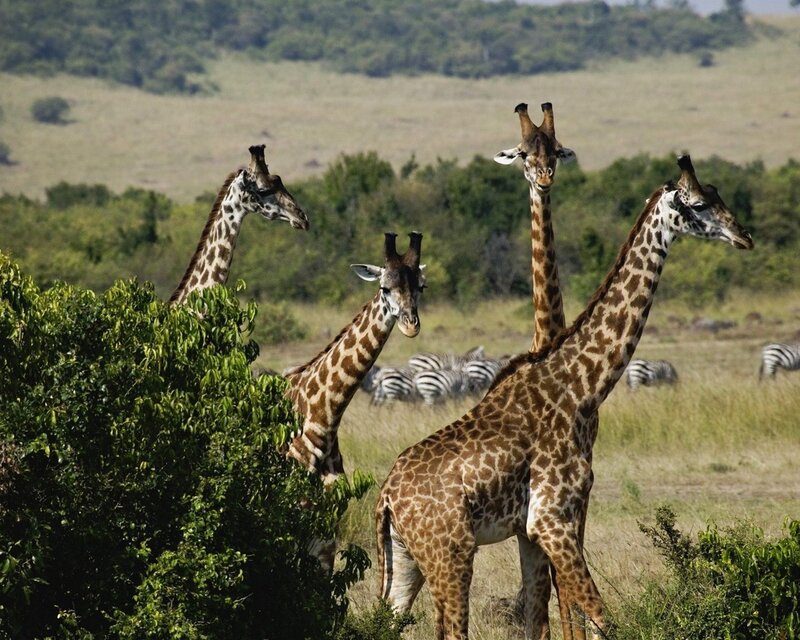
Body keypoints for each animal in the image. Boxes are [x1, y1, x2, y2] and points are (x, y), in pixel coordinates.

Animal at [375, 155, 752, 640]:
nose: (744, 236)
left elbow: (540, 620)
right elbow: (599, 615)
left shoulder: (531, 531)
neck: (581, 386)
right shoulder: (551, 518)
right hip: (451, 553)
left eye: (719, 193)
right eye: (700, 204)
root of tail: (386, 497)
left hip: (405, 560)